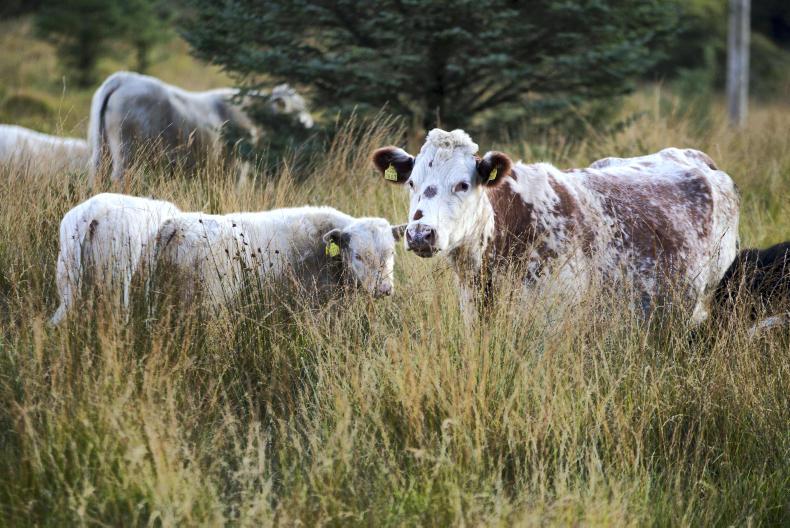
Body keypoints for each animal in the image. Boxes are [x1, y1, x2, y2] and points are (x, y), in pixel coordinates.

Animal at [50, 193, 180, 325]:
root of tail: (91, 211)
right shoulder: (150, 259)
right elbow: (149, 288)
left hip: (68, 263)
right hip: (118, 268)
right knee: (119, 304)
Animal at [87, 71, 314, 184]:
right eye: (296, 112)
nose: (309, 125)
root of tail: (124, 78)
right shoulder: (236, 166)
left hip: (103, 150)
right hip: (129, 153)